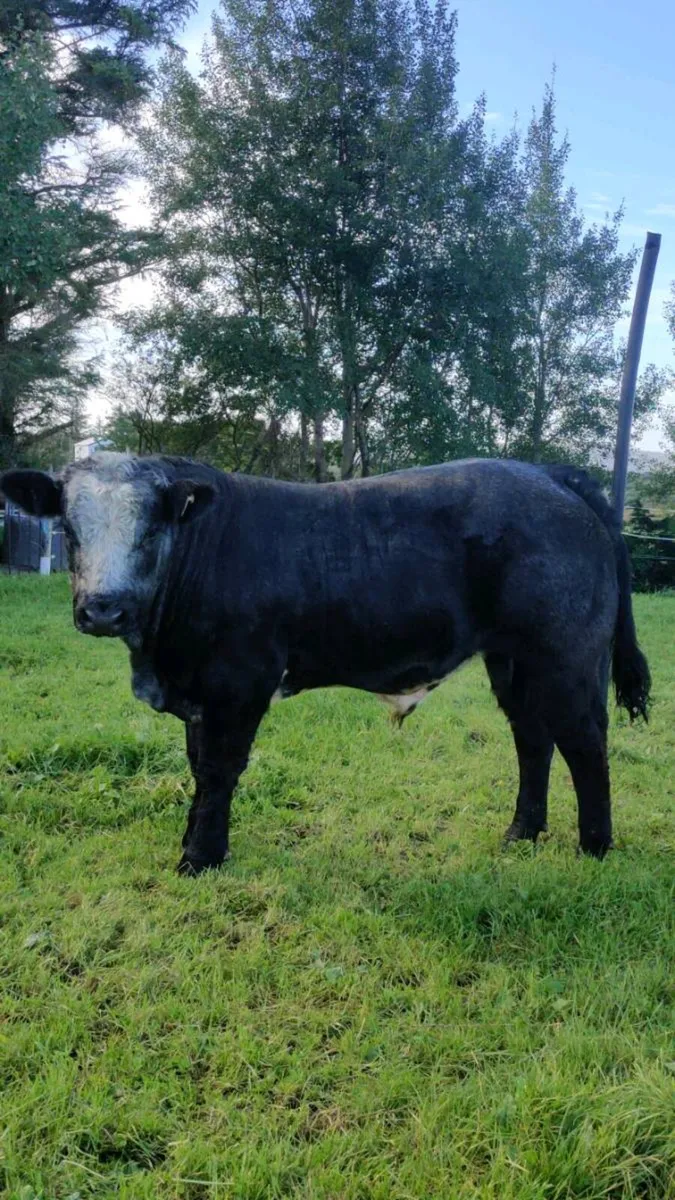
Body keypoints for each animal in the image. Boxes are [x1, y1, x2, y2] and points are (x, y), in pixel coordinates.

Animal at [1, 453, 650, 875]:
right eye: (68, 528)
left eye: (152, 525)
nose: (103, 608)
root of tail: (547, 473)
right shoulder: (200, 694)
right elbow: (198, 768)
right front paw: (198, 844)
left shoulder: (239, 682)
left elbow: (218, 770)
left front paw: (199, 859)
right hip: (513, 660)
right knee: (533, 738)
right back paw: (521, 832)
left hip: (567, 656)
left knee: (584, 743)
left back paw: (594, 848)